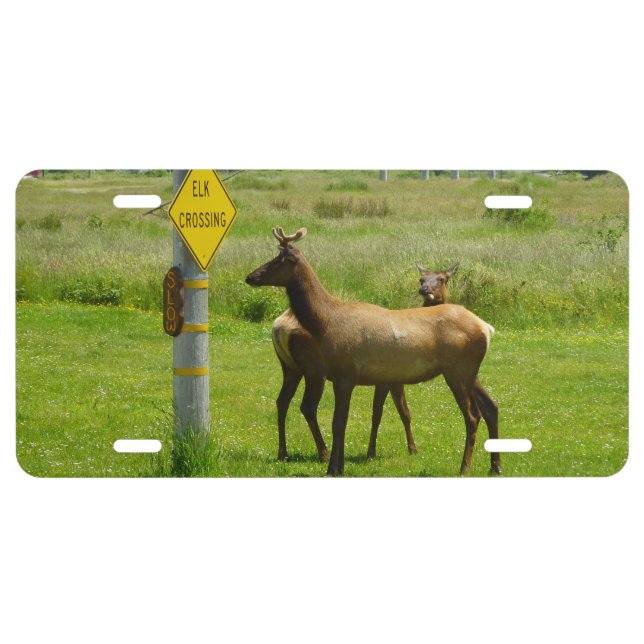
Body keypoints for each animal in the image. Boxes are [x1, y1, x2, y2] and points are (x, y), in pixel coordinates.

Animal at [271, 260, 460, 463]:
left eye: (442, 279)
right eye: (421, 278)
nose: (425, 290)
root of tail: (279, 327)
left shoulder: (396, 378)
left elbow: (404, 412)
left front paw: (411, 448)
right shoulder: (386, 378)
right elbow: (379, 413)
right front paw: (374, 452)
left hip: (290, 367)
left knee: (282, 401)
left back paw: (283, 453)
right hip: (314, 368)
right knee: (308, 407)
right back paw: (323, 453)